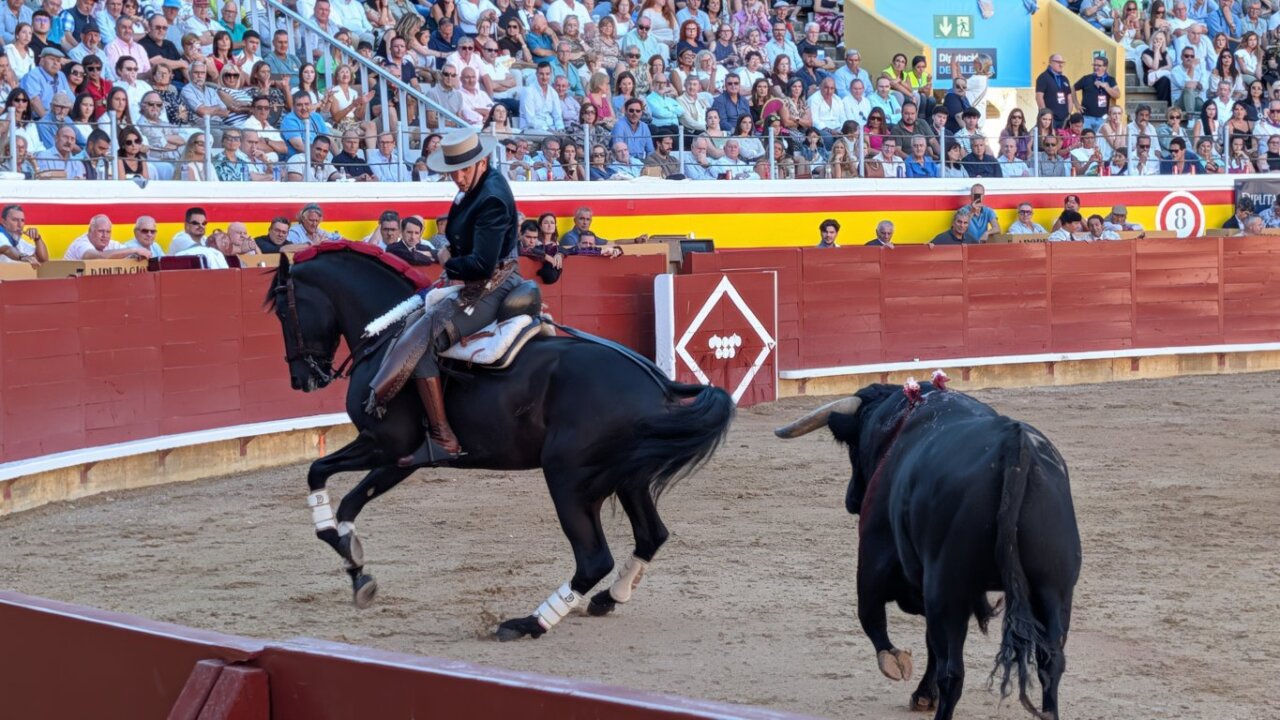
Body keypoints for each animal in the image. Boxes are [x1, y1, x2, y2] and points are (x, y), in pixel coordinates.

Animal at [267, 243, 734, 640]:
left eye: (284, 312)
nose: (302, 378)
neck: (388, 337)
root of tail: (655, 382)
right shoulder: (404, 458)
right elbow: (351, 502)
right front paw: (357, 570)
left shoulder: (385, 444)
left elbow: (317, 472)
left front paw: (339, 544)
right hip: (628, 479)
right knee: (651, 535)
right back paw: (607, 599)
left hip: (568, 479)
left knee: (594, 557)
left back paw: (527, 623)